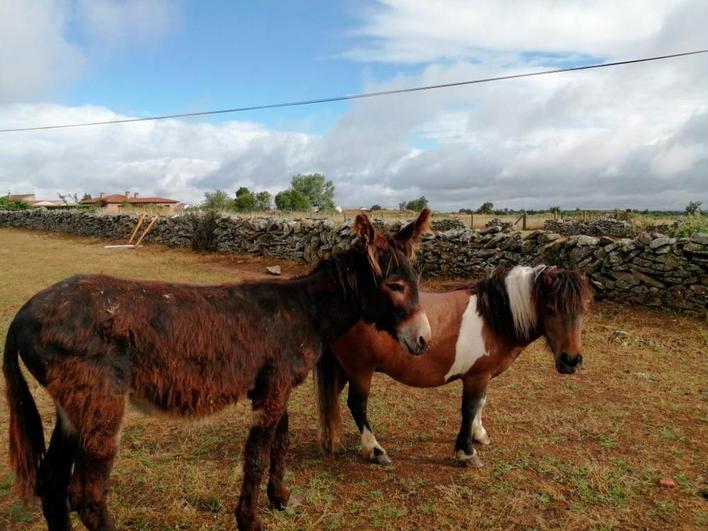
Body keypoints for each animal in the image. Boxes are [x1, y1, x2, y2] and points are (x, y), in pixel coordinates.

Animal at [4, 211, 432, 531]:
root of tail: (23, 313)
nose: (424, 340)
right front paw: (250, 521)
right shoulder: (272, 390)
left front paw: (281, 499)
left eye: (416, 280)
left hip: (71, 407)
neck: (304, 310)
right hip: (101, 402)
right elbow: (256, 457)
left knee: (52, 482)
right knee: (87, 495)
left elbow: (280, 444)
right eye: (394, 285)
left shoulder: (275, 387)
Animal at [316, 264, 592, 468]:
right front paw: (467, 453)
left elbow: (481, 403)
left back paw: (332, 441)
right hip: (360, 370)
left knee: (332, 399)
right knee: (357, 405)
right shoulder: (476, 376)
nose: (571, 361)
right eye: (550, 309)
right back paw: (375, 450)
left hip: (344, 369)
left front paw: (479, 434)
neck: (493, 317)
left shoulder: (483, 375)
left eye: (583, 309)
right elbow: (469, 408)